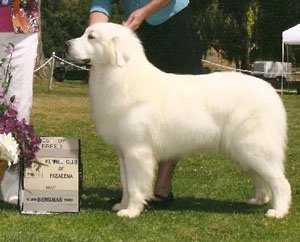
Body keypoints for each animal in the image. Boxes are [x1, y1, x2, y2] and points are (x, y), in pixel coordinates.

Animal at [65, 22, 290, 218]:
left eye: (91, 37)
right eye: (85, 33)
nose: (66, 45)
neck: (120, 74)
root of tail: (270, 91)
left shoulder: (136, 150)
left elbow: (135, 185)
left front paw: (131, 211)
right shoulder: (123, 151)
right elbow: (125, 182)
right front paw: (122, 204)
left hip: (254, 147)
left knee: (280, 181)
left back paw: (278, 211)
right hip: (243, 151)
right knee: (260, 177)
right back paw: (259, 199)